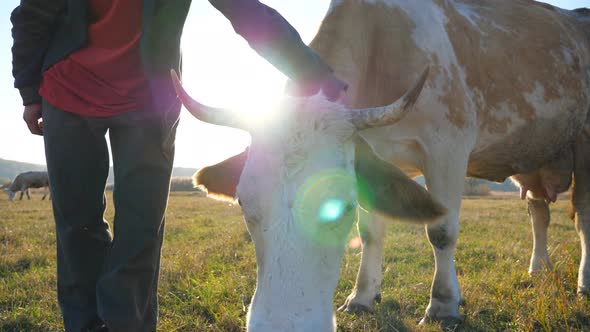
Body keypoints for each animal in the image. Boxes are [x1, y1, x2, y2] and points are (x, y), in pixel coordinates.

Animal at [182, 0, 590, 330]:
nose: (283, 326)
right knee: (539, 212)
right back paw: (538, 269)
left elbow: (441, 231)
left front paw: (443, 305)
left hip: (583, 141)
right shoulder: (370, 156)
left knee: (583, 216)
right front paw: (362, 297)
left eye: (340, 207)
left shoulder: (447, 147)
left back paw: (584, 282)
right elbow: (371, 233)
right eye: (242, 203)